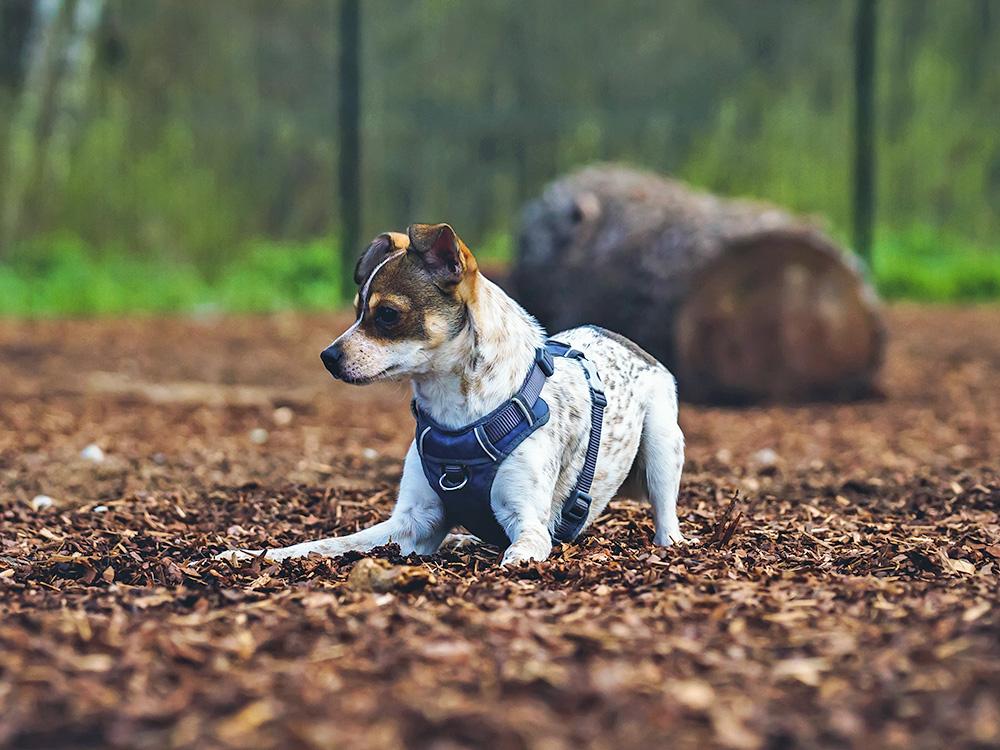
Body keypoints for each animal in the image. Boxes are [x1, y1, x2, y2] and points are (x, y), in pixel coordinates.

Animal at [220, 226, 684, 568]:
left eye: (387, 314)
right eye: (356, 311)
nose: (327, 357)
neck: (457, 414)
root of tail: (619, 338)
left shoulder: (529, 523)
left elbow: (518, 553)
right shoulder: (411, 524)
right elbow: (323, 544)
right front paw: (252, 553)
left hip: (662, 448)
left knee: (666, 515)